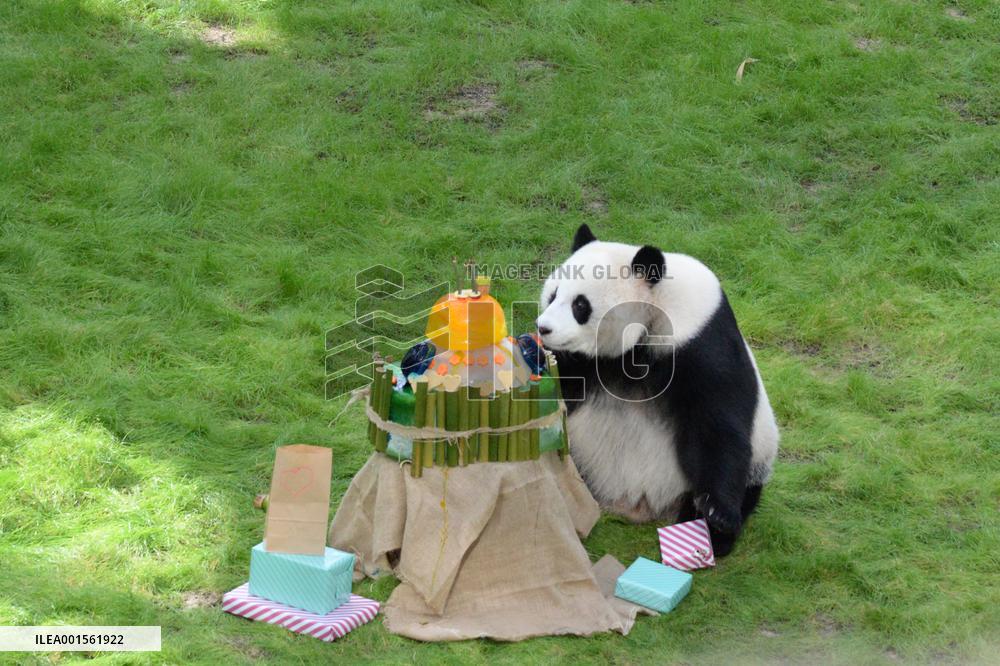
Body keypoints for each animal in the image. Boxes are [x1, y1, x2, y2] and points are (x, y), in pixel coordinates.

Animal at [536, 224, 779, 556]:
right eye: (553, 294)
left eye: (580, 305)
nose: (542, 328)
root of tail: (637, 506)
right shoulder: (585, 361)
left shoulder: (702, 343)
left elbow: (717, 426)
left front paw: (718, 513)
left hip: (757, 459)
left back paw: (713, 535)